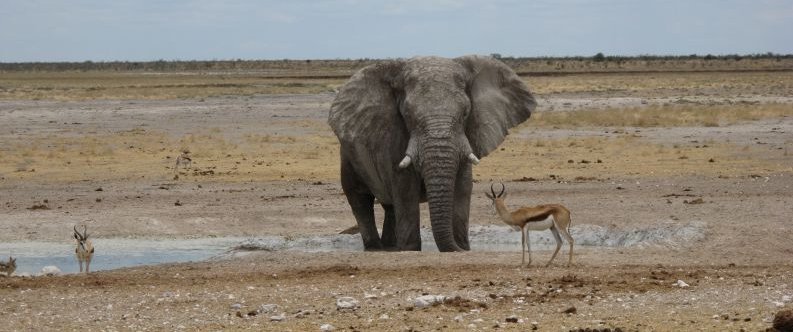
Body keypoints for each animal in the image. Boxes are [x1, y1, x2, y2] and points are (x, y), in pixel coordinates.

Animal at [328, 55, 540, 252]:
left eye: (465, 113)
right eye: (407, 115)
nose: (459, 247)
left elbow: (463, 187)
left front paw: (463, 248)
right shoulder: (393, 136)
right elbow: (406, 189)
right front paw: (411, 250)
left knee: (390, 207)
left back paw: (391, 246)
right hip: (348, 157)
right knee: (360, 200)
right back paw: (375, 248)